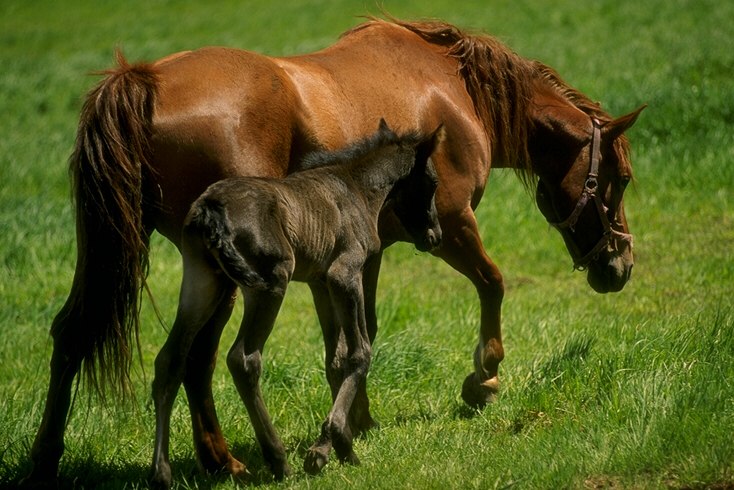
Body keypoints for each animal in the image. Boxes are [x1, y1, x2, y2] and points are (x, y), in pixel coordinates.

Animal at [150, 120, 442, 488]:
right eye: (434, 182)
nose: (435, 236)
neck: (357, 189)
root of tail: (210, 208)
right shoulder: (344, 274)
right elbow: (360, 353)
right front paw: (324, 448)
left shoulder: (320, 283)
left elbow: (335, 359)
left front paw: (342, 447)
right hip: (270, 281)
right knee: (243, 359)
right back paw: (277, 460)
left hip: (202, 283)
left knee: (170, 360)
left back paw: (161, 472)